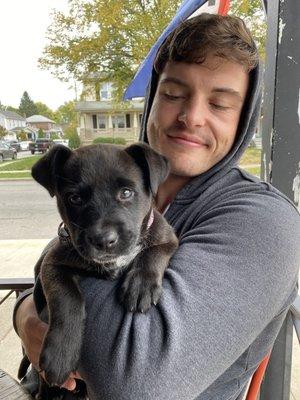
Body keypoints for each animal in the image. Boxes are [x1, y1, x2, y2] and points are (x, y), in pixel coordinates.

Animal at [22, 142, 177, 398]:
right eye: (74, 198)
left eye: (126, 193)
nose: (104, 240)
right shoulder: (53, 263)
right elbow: (67, 298)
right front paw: (60, 355)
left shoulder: (167, 237)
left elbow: (152, 253)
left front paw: (141, 285)